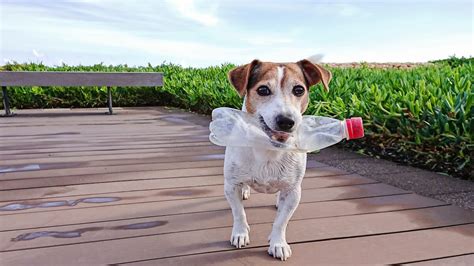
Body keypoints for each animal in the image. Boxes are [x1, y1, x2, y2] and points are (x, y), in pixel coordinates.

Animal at [224, 58, 332, 260]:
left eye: (299, 90)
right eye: (263, 90)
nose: (286, 121)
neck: (268, 147)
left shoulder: (293, 192)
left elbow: (281, 221)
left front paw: (278, 243)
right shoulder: (231, 185)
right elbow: (239, 212)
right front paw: (240, 233)